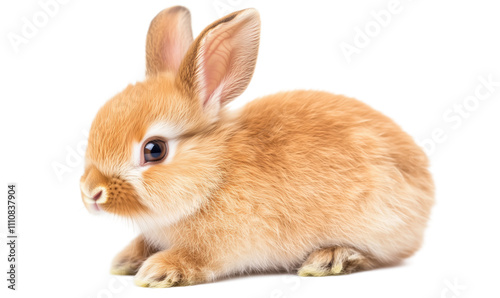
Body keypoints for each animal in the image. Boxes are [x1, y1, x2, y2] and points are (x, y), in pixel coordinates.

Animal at [79, 5, 434, 288]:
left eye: (155, 150)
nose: (91, 193)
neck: (214, 175)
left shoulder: (221, 246)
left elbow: (198, 259)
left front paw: (158, 271)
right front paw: (126, 261)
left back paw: (329, 259)